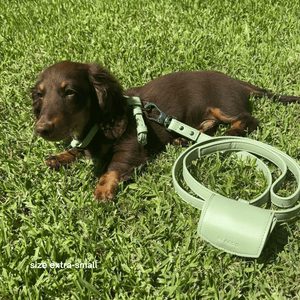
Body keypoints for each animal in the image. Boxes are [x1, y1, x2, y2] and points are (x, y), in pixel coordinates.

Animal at [32, 61, 300, 200]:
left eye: (70, 92)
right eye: (40, 94)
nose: (40, 129)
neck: (97, 123)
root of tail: (237, 82)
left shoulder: (131, 146)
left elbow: (113, 167)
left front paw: (103, 189)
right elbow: (77, 149)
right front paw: (59, 157)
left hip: (224, 104)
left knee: (247, 120)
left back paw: (226, 135)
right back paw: (185, 139)